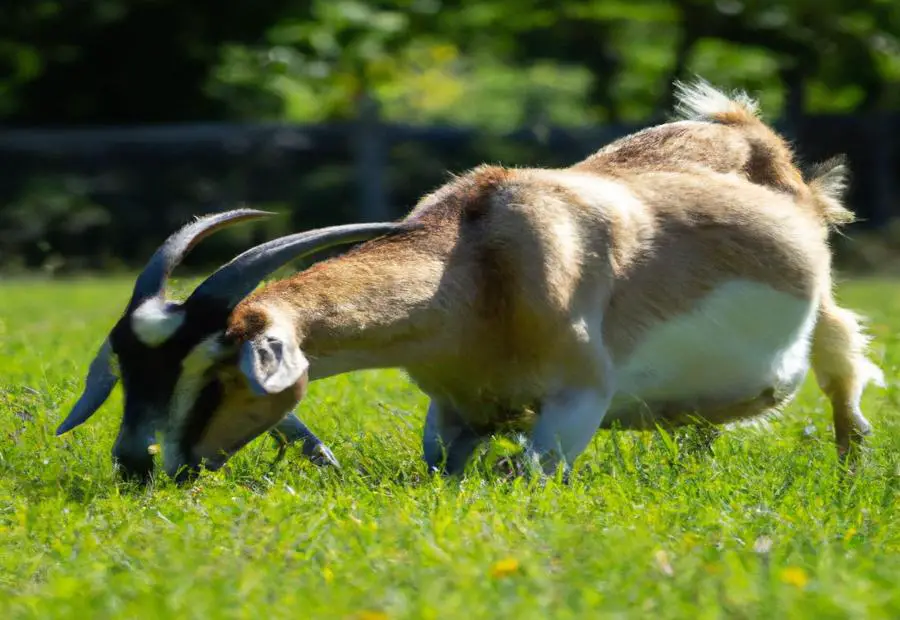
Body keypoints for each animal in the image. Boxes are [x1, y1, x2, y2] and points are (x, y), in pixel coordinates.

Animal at [56, 79, 884, 483]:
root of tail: (748, 131)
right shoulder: (456, 407)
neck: (479, 262)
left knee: (844, 377)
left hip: (827, 313)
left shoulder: (577, 399)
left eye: (218, 371)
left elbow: (519, 475)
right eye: (126, 367)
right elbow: (445, 468)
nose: (135, 463)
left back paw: (851, 473)